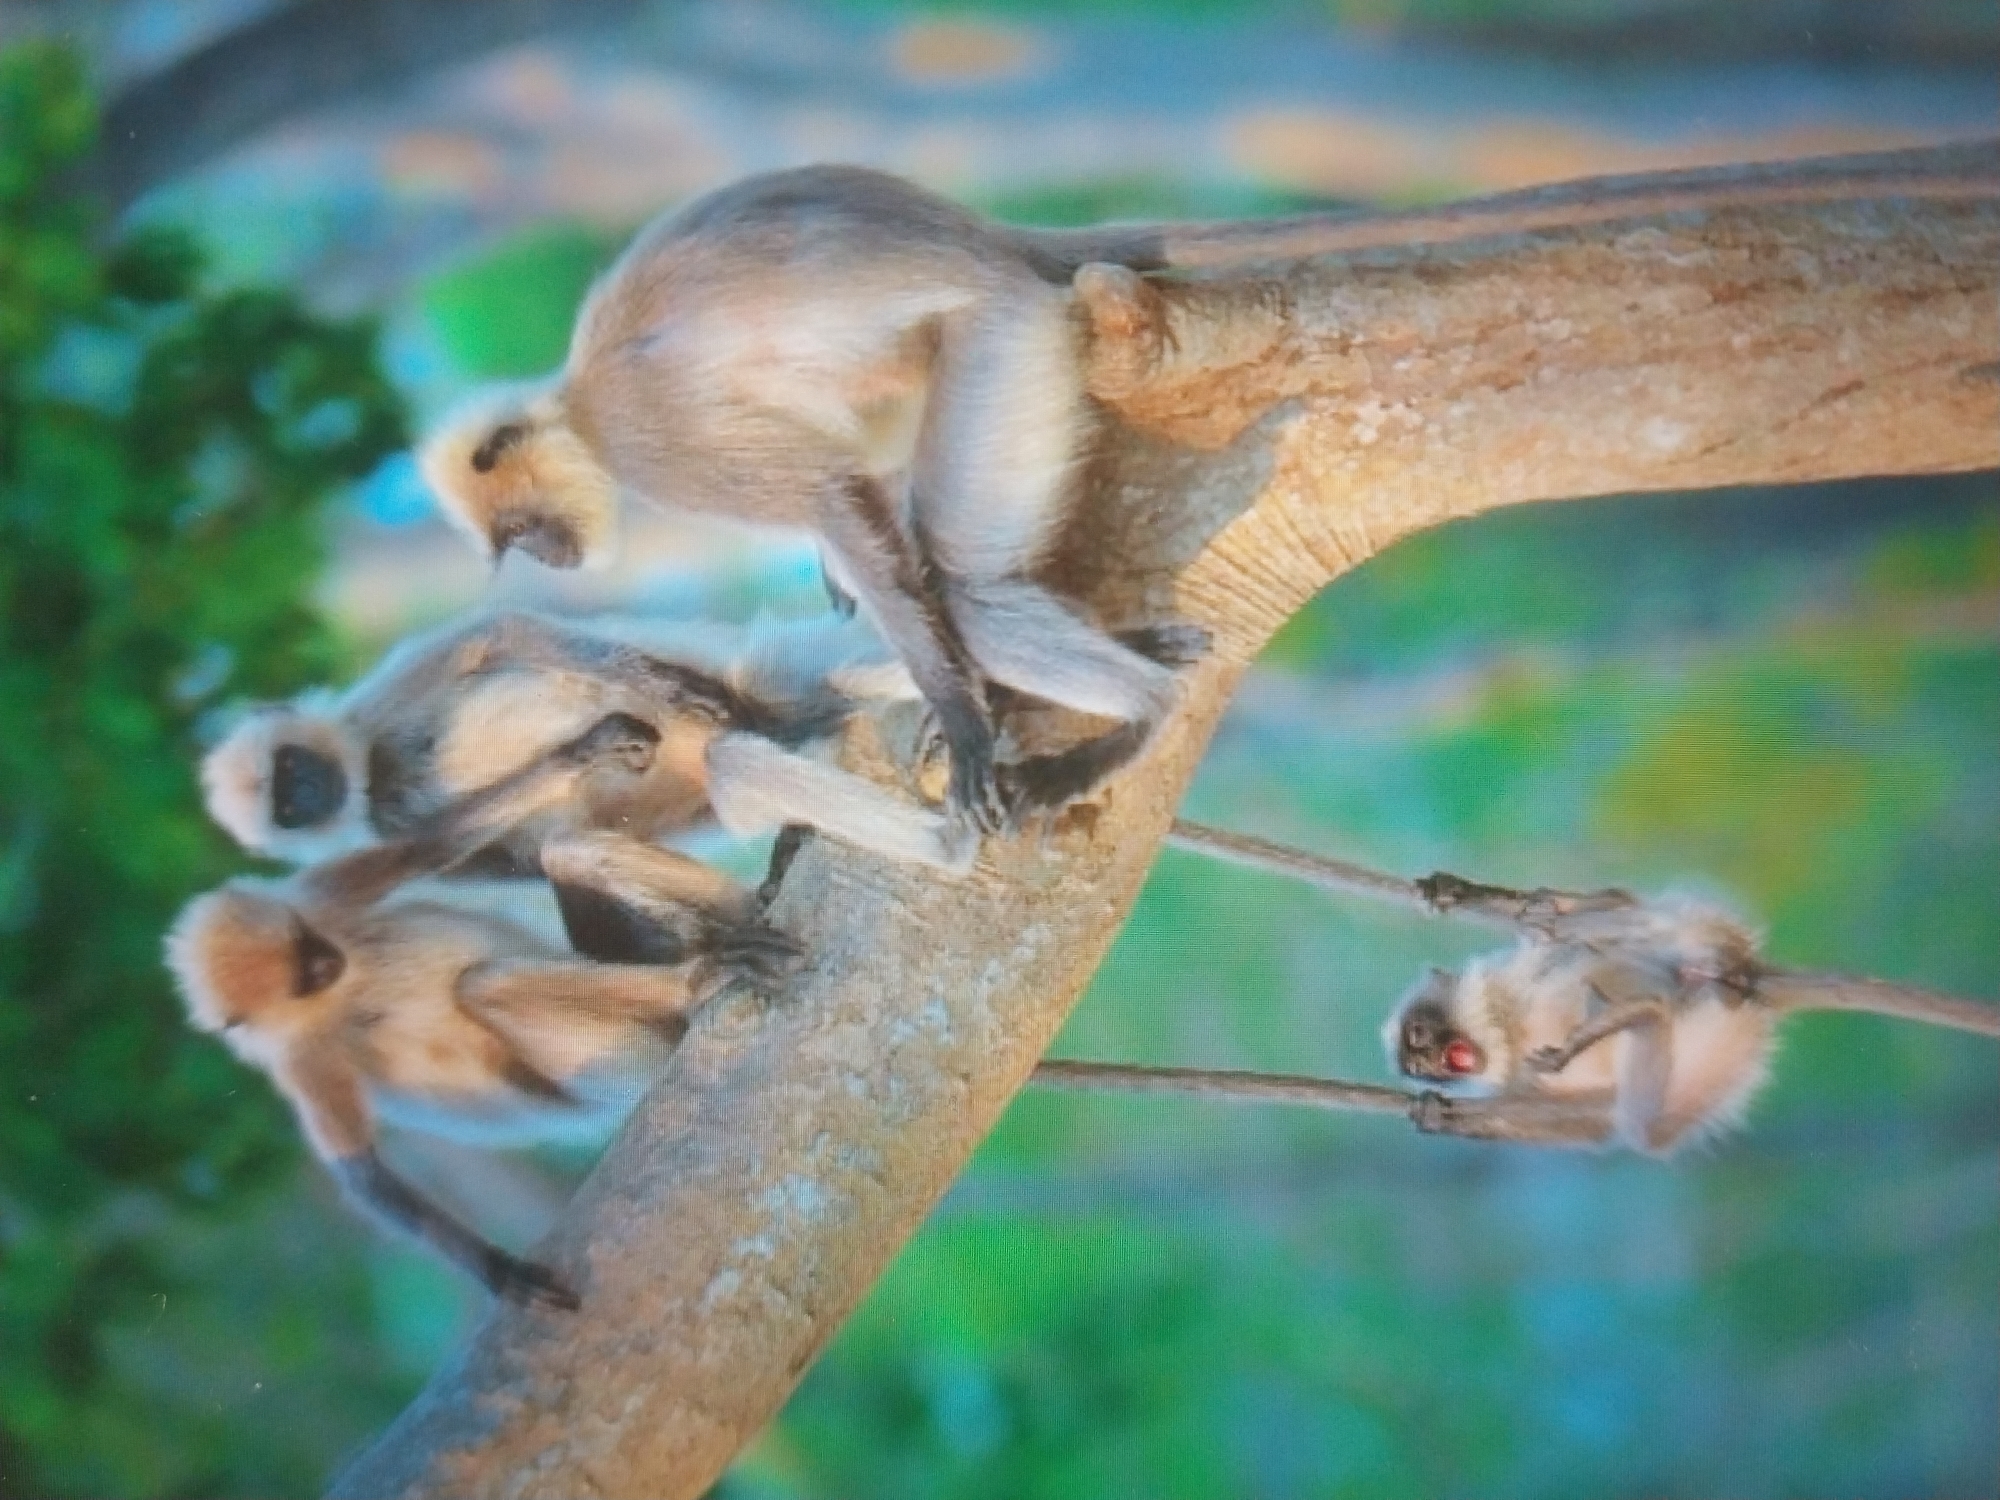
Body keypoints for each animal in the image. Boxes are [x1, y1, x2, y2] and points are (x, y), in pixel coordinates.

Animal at [165, 825, 798, 1309]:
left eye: (307, 946)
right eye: (305, 976)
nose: (327, 962)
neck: (339, 993)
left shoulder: (320, 898)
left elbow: (443, 847)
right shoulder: (301, 1061)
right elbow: (366, 1177)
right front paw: (500, 1272)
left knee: (568, 851)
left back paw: (753, 900)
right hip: (617, 1056)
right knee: (486, 982)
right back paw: (696, 980)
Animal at [202, 606, 979, 880]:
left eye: (291, 770)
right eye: (286, 806)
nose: (308, 792)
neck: (375, 769)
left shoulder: (382, 700)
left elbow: (500, 630)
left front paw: (659, 686)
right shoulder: (391, 825)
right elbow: (450, 846)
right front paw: (587, 753)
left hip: (764, 671)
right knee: (735, 761)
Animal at [417, 164, 1229, 835]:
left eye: (522, 530)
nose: (547, 557)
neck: (577, 402)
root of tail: (979, 236)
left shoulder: (642, 429)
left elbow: (830, 493)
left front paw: (962, 712)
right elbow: (858, 483)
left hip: (1001, 338)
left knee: (965, 586)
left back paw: (1147, 710)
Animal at [1384, 898, 1775, 1155]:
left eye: (1418, 1034)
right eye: (1418, 1069)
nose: (1423, 1062)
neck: (1508, 1030)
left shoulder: (1518, 978)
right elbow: (1596, 1119)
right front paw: (1439, 1117)